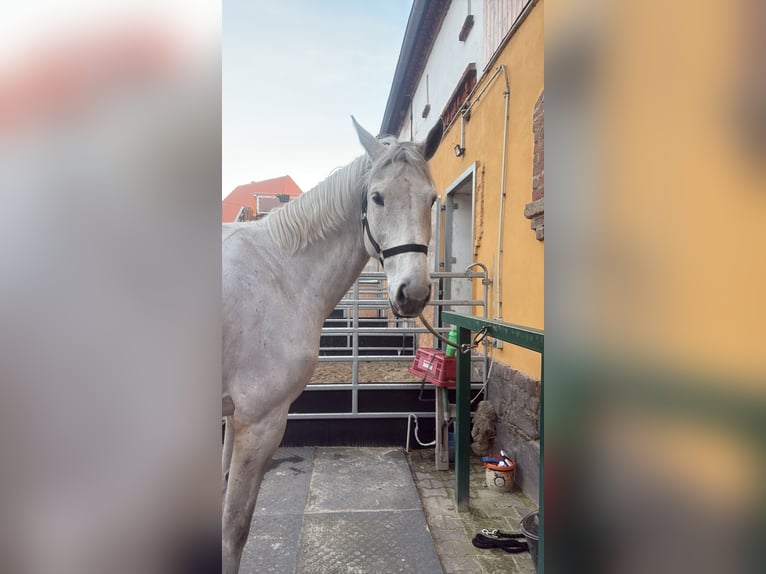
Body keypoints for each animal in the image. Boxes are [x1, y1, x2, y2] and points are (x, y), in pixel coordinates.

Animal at [220, 118, 444, 574]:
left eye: (431, 200)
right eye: (377, 197)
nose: (412, 294)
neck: (280, 273)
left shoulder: (233, 420)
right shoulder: (258, 421)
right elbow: (235, 528)